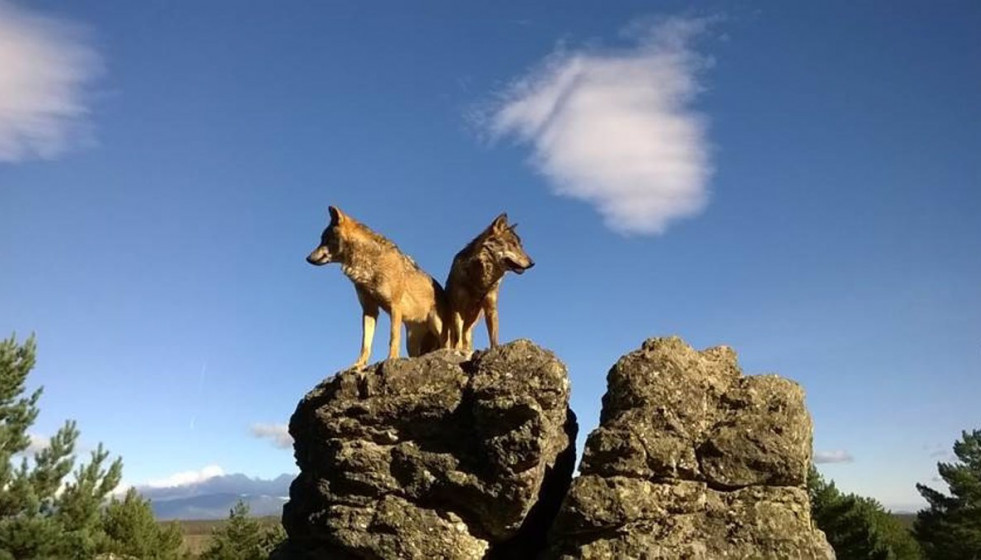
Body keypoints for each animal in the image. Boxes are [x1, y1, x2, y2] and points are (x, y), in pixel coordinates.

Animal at [304, 206, 446, 368]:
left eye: (325, 239)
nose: (307, 258)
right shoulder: (369, 310)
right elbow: (365, 343)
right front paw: (358, 365)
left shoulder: (395, 306)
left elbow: (393, 337)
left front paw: (392, 358)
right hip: (411, 343)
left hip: (437, 325)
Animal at [446, 213, 536, 350]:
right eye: (513, 244)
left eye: (521, 246)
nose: (532, 263)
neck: (481, 280)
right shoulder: (458, 308)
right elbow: (458, 336)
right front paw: (457, 350)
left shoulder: (491, 307)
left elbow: (494, 337)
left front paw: (495, 349)